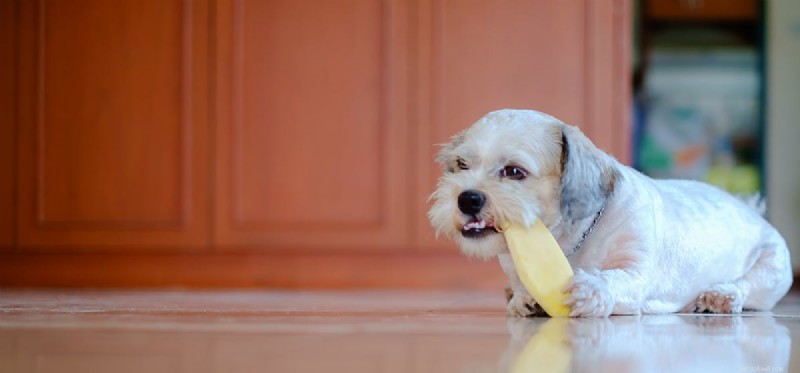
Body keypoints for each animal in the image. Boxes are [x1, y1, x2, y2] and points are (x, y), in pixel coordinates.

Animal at [428, 109, 792, 316]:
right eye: (462, 164)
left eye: (514, 172)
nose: (467, 198)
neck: (570, 241)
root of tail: (751, 209)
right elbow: (520, 287)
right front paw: (522, 297)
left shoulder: (636, 271)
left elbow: (615, 279)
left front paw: (590, 290)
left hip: (772, 269)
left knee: (748, 289)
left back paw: (721, 295)